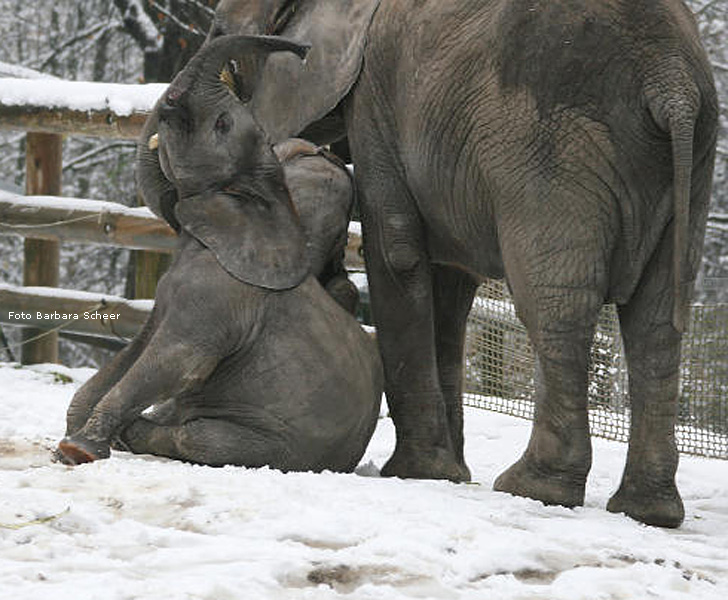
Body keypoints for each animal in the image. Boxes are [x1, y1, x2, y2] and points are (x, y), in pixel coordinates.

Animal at [57, 34, 384, 474]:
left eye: (222, 125)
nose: (303, 50)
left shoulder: (218, 301)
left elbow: (176, 362)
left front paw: (77, 451)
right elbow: (138, 347)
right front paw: (73, 439)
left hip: (282, 447)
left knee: (201, 438)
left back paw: (135, 432)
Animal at [136, 0, 716, 528]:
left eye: (220, 33)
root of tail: (671, 81)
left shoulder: (376, 99)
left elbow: (396, 251)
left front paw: (417, 471)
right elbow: (451, 284)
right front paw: (449, 473)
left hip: (553, 147)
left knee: (556, 306)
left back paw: (534, 488)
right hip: (690, 159)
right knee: (658, 318)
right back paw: (649, 511)